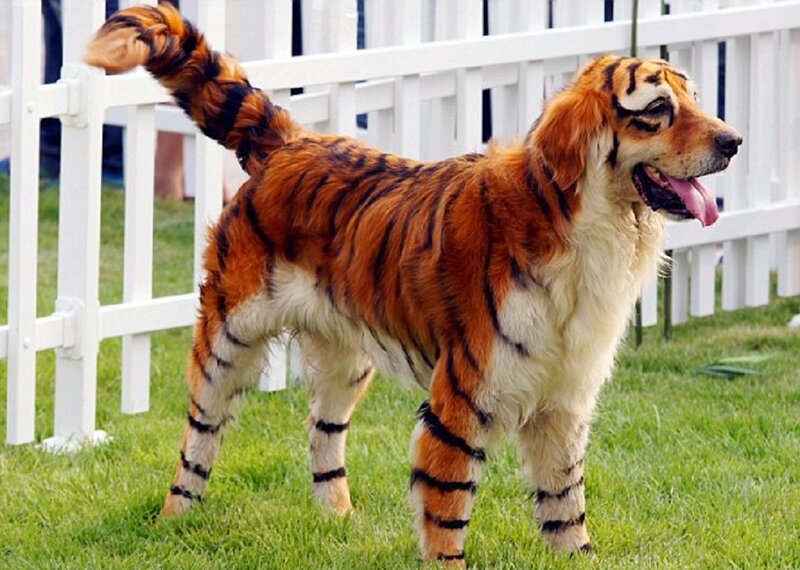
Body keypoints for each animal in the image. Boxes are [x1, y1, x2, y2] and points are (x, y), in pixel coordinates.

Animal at [85, 4, 741, 566]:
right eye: (658, 108)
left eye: (695, 99)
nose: (734, 141)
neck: (593, 231)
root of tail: (292, 141)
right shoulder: (463, 398)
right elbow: (448, 511)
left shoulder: (566, 397)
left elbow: (565, 508)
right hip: (229, 338)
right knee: (200, 434)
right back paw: (175, 520)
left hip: (345, 358)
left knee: (323, 433)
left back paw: (337, 520)